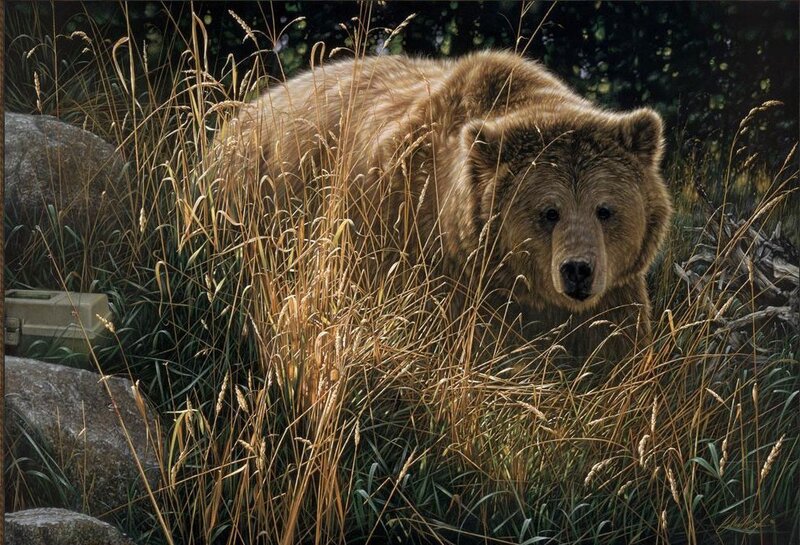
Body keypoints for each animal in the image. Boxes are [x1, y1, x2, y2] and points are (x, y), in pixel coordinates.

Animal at [213, 50, 673, 358]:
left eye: (605, 209)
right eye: (549, 211)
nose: (577, 270)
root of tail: (237, 117)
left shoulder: (614, 296)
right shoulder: (423, 258)